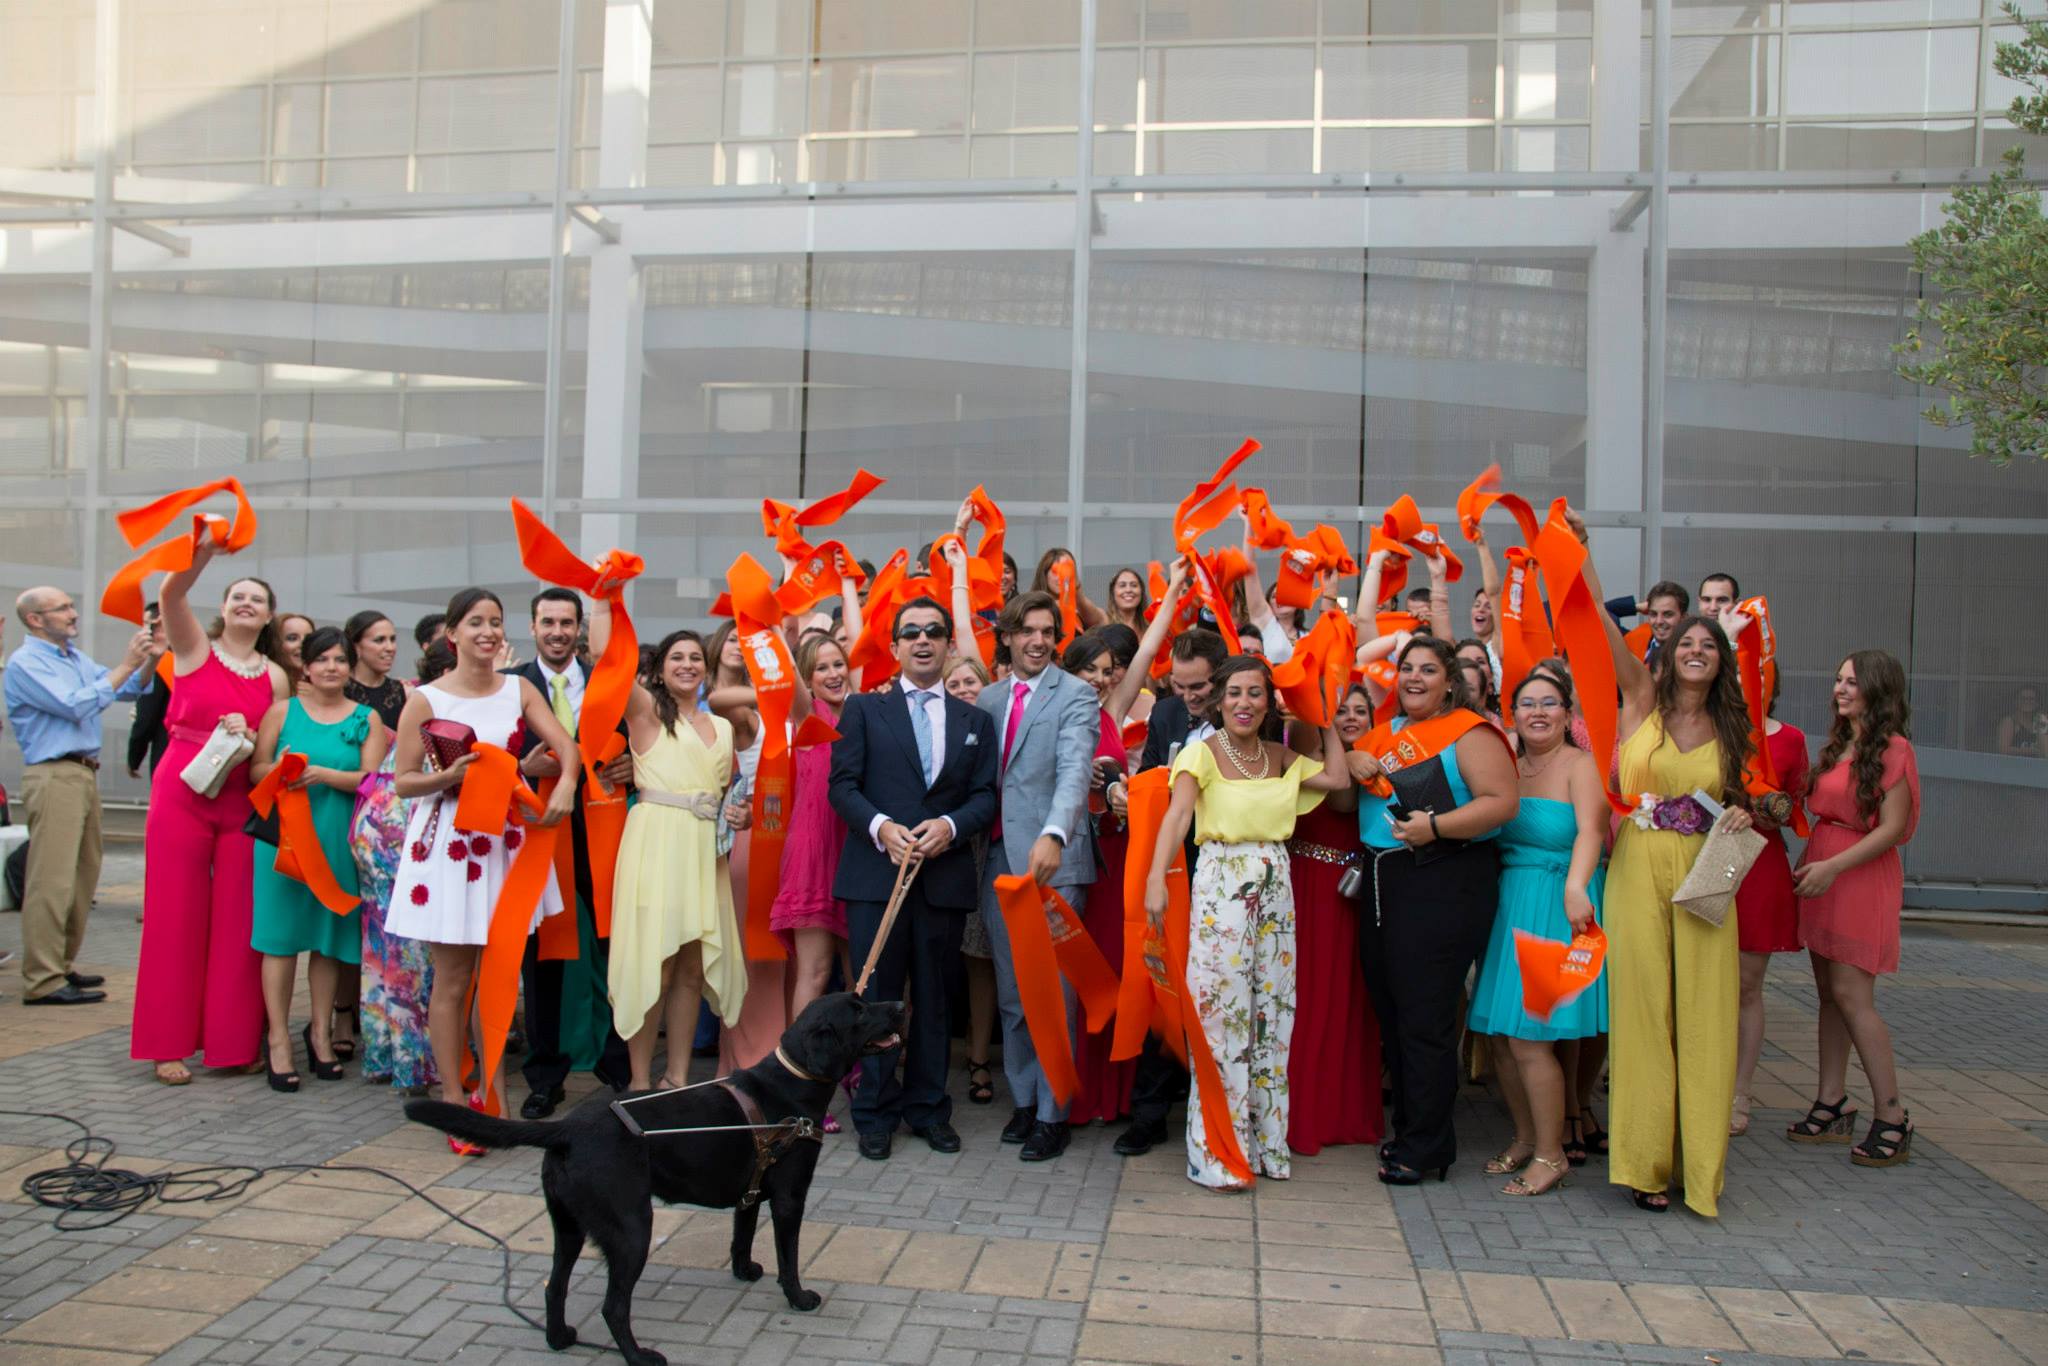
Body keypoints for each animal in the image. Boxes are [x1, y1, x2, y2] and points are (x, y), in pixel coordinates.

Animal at [406, 992, 905, 1366]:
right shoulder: (789, 1198)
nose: (901, 1003)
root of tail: (566, 1128)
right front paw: (798, 1298)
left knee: (554, 1287)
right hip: (631, 1229)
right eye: (859, 1011)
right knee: (613, 1306)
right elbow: (790, 1259)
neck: (791, 1082)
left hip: (568, 1227)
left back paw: (561, 1338)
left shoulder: (750, 1192)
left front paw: (744, 1271)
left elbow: (741, 1237)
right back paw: (640, 1357)